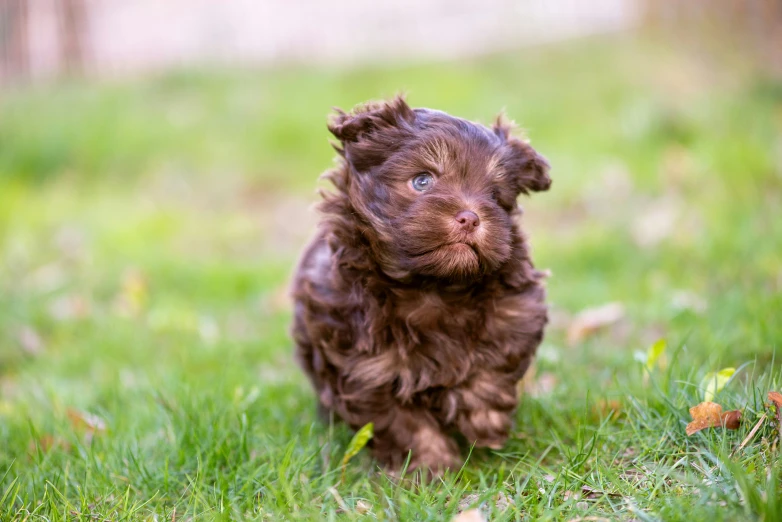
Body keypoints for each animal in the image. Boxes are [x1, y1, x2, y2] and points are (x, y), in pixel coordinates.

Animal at [292, 95, 552, 470]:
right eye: (422, 181)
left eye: (494, 195)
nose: (470, 217)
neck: (432, 286)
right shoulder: (365, 367)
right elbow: (404, 423)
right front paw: (433, 467)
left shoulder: (516, 313)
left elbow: (491, 367)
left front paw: (483, 422)